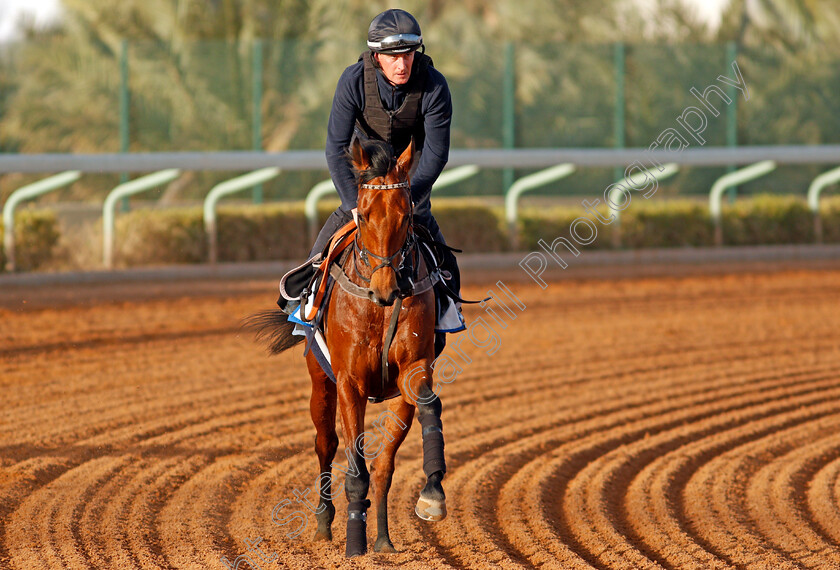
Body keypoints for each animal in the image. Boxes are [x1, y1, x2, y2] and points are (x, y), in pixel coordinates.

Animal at [248, 136, 446, 556]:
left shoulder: (414, 369)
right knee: (325, 444)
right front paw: (354, 543)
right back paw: (324, 523)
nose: (386, 289)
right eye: (366, 215)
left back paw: (383, 536)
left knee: (382, 464)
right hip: (320, 383)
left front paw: (431, 495)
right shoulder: (349, 382)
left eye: (406, 214)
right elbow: (354, 464)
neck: (378, 309)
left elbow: (415, 426)